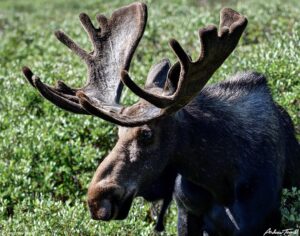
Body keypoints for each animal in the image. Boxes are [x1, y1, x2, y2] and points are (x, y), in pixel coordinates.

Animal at [22, 2, 298, 236]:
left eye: (146, 133)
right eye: (117, 133)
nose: (96, 200)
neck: (219, 179)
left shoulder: (259, 222)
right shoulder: (186, 214)